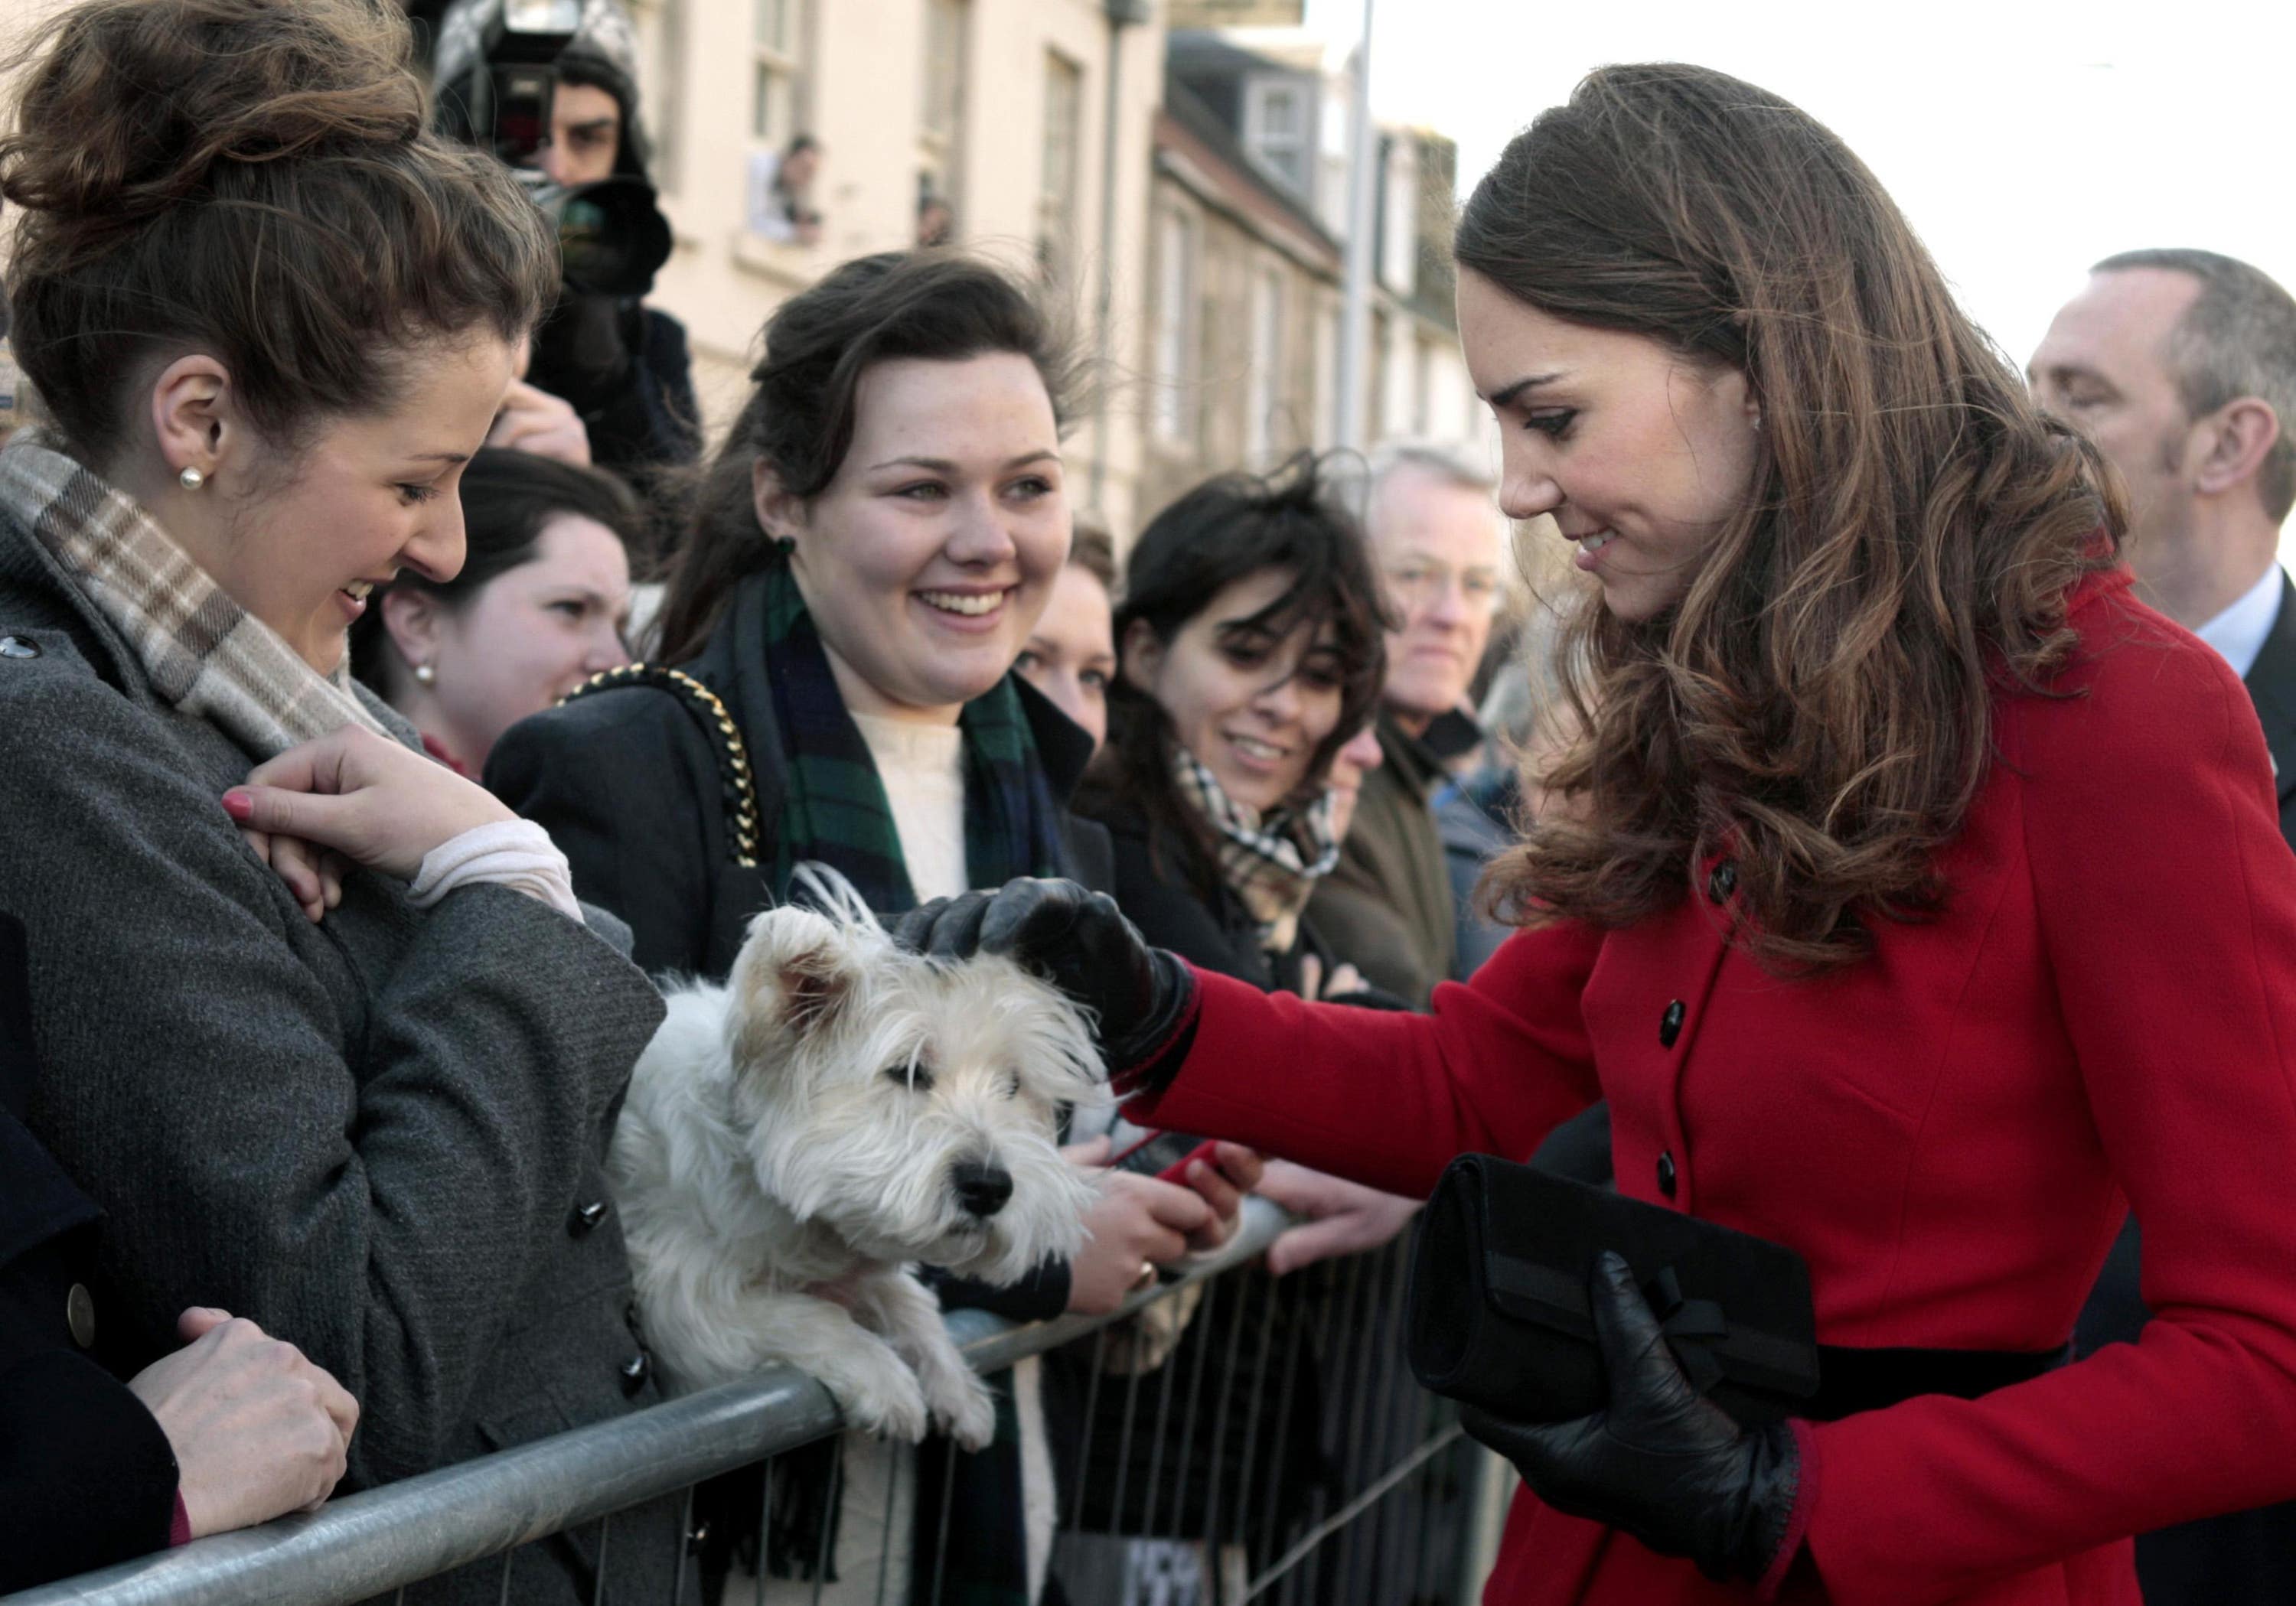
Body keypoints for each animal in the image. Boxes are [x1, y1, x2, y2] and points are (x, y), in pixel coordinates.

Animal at [615, 871, 1107, 1450]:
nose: (989, 1187)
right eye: (909, 1071)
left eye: (1012, 1085)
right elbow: (801, 1314)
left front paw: (955, 1382)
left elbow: (907, 1298)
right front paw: (885, 1379)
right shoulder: (678, 1299)